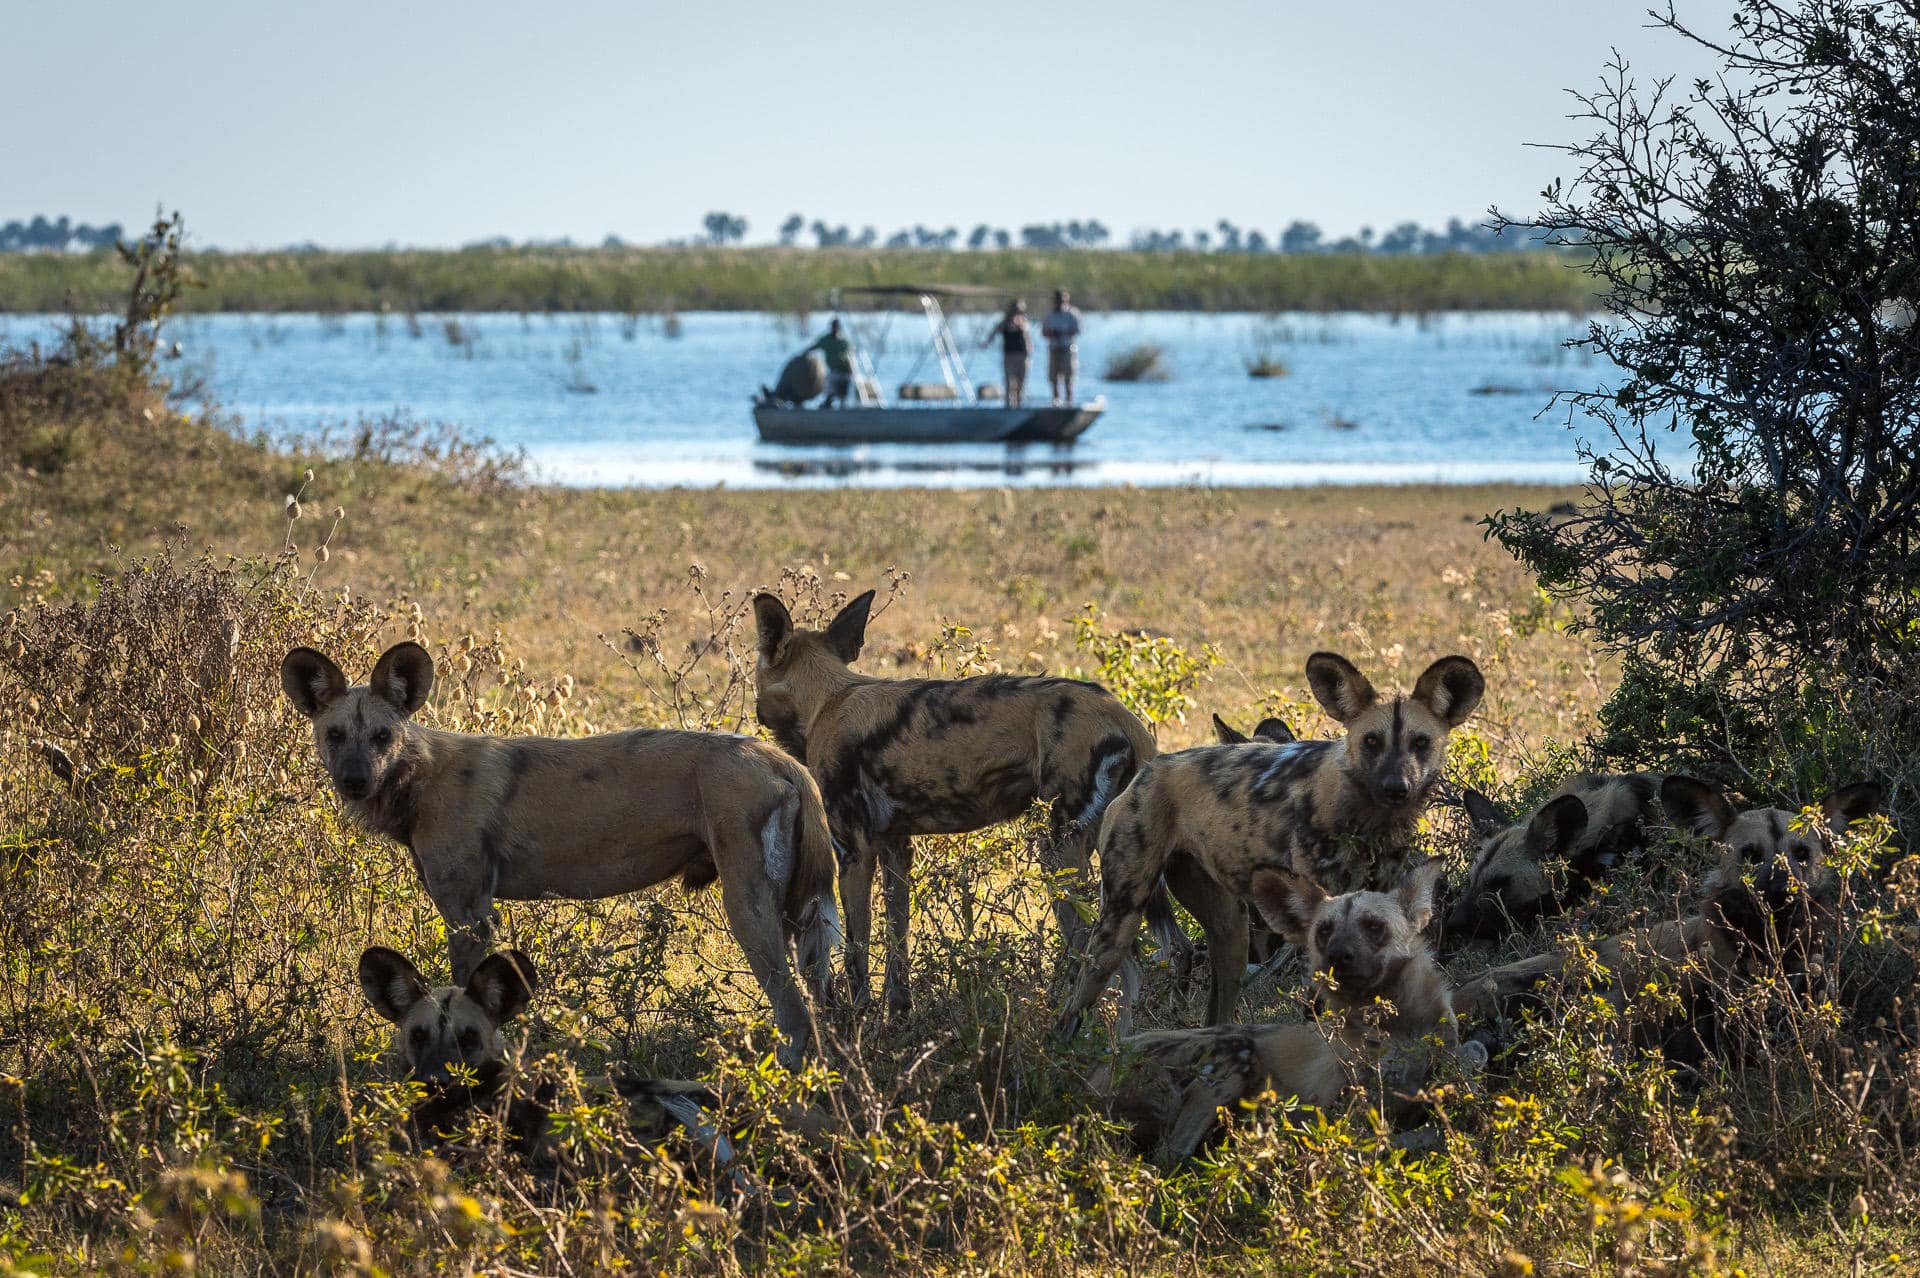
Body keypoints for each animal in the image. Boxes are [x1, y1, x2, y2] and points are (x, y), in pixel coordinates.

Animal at [280, 637, 837, 1066]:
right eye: (335, 735)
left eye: (382, 736)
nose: (355, 780)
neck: (419, 778)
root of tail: (778, 758)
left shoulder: (468, 915)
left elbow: (464, 997)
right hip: (801, 918)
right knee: (826, 1000)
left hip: (748, 910)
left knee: (795, 1011)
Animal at [752, 591, 1182, 1013]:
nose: (757, 713)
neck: (828, 700)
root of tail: (1125, 716)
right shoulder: (895, 849)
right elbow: (897, 944)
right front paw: (899, 1014)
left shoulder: (855, 853)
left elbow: (858, 951)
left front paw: (859, 1017)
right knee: (1178, 948)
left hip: (1058, 851)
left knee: (1090, 948)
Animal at [1052, 652, 1482, 1028]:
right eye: (1371, 741)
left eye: (1420, 742)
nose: (1396, 787)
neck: (1370, 817)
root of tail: (1148, 767)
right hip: (1116, 928)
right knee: (1071, 1012)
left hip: (1231, 936)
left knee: (1218, 1015)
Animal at [1098, 855, 1482, 1166]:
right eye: (1323, 932)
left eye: (1375, 927)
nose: (1336, 956)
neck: (1398, 1027)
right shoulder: (1342, 1117)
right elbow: (1407, 1138)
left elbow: (1466, 1072)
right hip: (1233, 1053)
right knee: (1169, 1157)